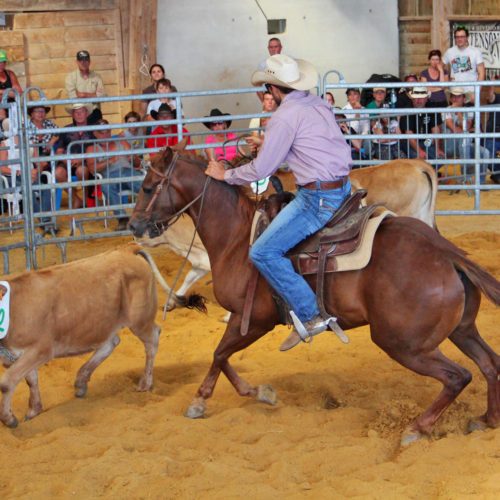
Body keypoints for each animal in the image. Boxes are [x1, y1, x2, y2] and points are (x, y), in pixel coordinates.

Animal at [129, 146, 500, 444]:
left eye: (147, 187)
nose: (133, 226)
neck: (237, 238)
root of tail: (446, 254)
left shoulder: (255, 320)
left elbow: (220, 353)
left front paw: (206, 398)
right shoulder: (243, 318)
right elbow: (220, 355)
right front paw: (254, 392)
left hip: (404, 344)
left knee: (458, 376)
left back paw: (416, 428)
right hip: (461, 330)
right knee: (489, 364)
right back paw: (486, 419)